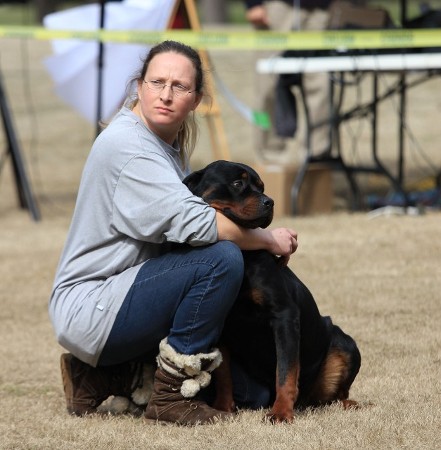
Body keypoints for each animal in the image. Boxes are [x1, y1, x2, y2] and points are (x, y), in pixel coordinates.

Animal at [182, 160, 358, 424]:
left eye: (262, 187)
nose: (270, 202)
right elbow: (223, 374)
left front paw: (281, 412)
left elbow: (285, 371)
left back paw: (350, 403)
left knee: (338, 392)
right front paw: (223, 407)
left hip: (344, 343)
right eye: (238, 183)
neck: (243, 255)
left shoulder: (284, 315)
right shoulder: (221, 323)